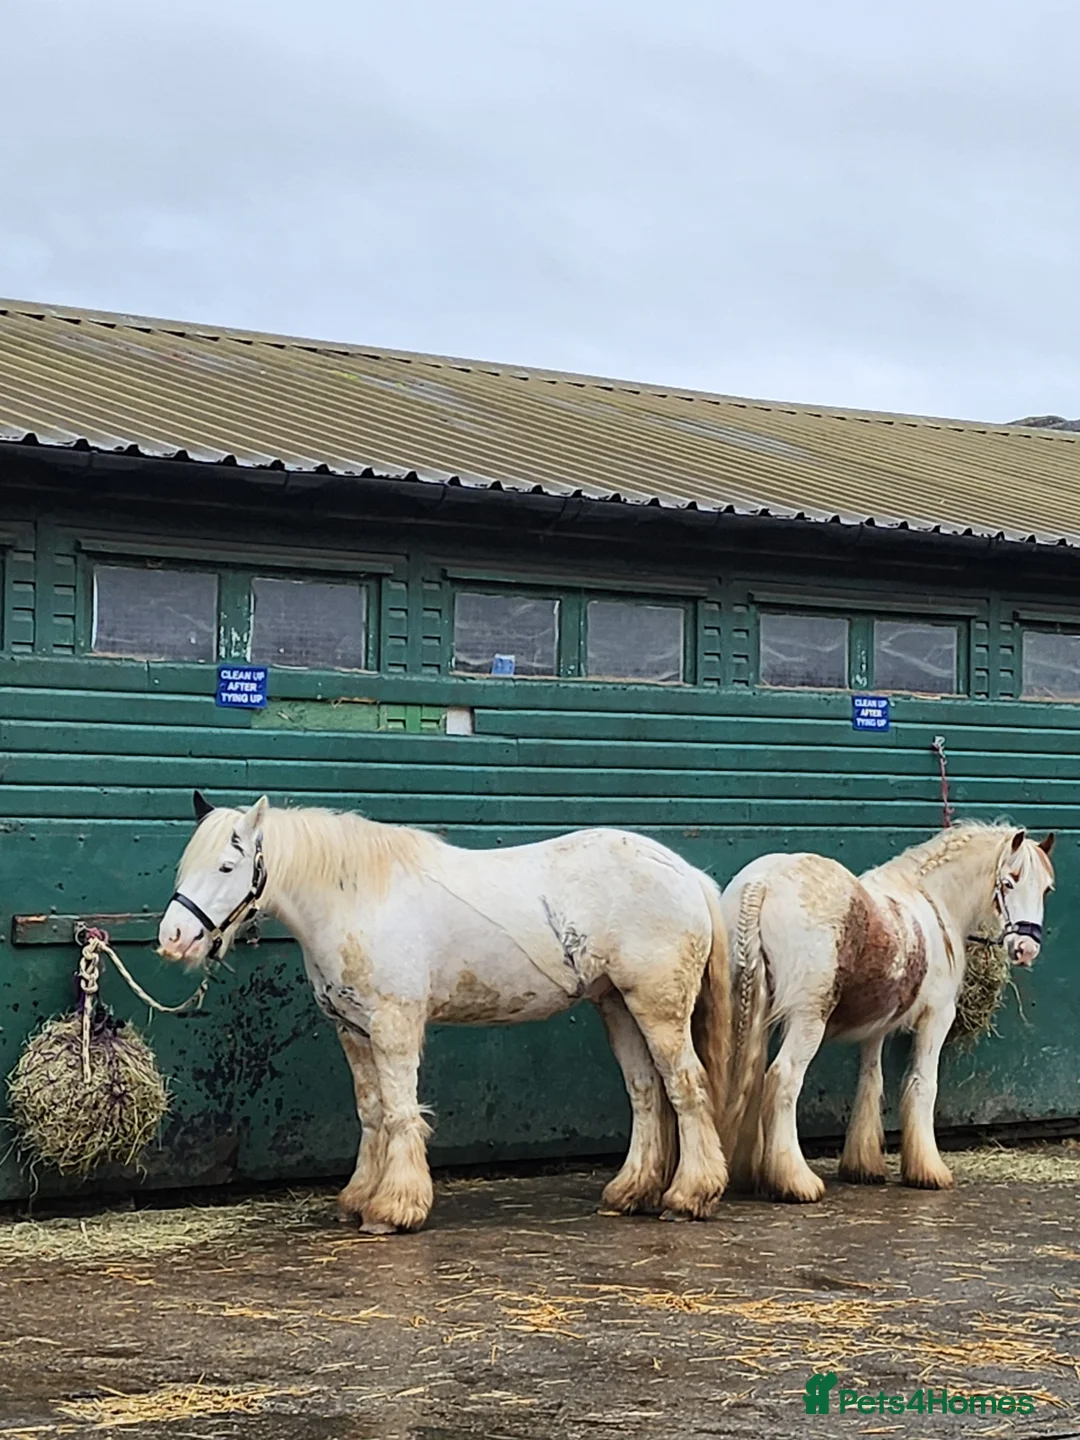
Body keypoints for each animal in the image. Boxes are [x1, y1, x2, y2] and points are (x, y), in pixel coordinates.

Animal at [156, 791, 732, 1233]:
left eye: (226, 866)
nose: (174, 937)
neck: (358, 900)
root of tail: (685, 874)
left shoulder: (394, 1027)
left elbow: (399, 1111)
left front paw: (395, 1207)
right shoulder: (351, 1030)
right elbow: (371, 1111)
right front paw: (358, 1198)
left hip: (658, 1008)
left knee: (685, 1086)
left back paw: (689, 1197)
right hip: (618, 1005)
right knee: (645, 1092)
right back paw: (629, 1192)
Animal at [720, 822, 1056, 1203]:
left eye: (1046, 888)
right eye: (1009, 882)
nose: (1026, 949)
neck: (932, 902)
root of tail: (762, 883)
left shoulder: (876, 1027)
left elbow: (870, 1082)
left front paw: (863, 1166)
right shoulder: (936, 1019)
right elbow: (922, 1084)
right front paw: (929, 1171)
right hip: (808, 1020)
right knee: (783, 1079)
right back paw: (796, 1181)